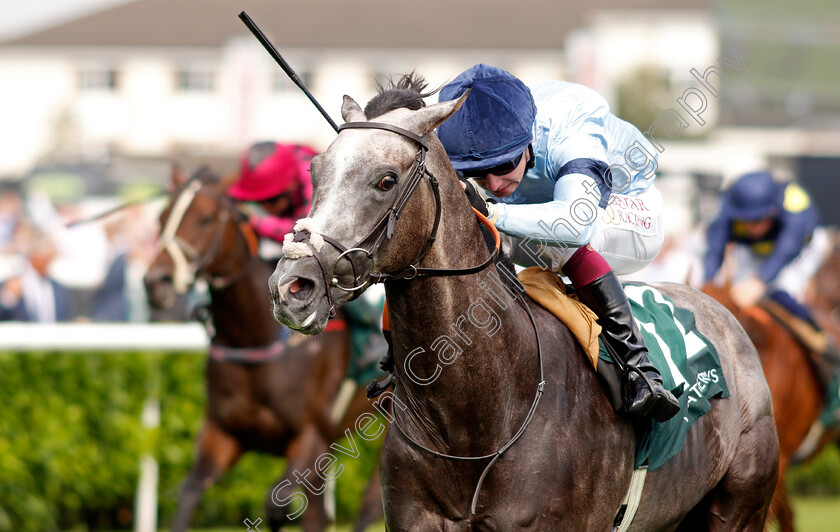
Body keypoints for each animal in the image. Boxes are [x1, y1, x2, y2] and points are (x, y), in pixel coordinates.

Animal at [144, 167, 384, 532]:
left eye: (205, 218)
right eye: (161, 218)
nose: (156, 283)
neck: (253, 339)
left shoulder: (311, 437)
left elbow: (276, 506)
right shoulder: (223, 434)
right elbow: (189, 493)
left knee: (370, 505)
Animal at [266, 76, 776, 532]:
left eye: (386, 180)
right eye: (315, 171)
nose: (293, 286)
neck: (474, 415)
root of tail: (723, 311)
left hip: (738, 507)